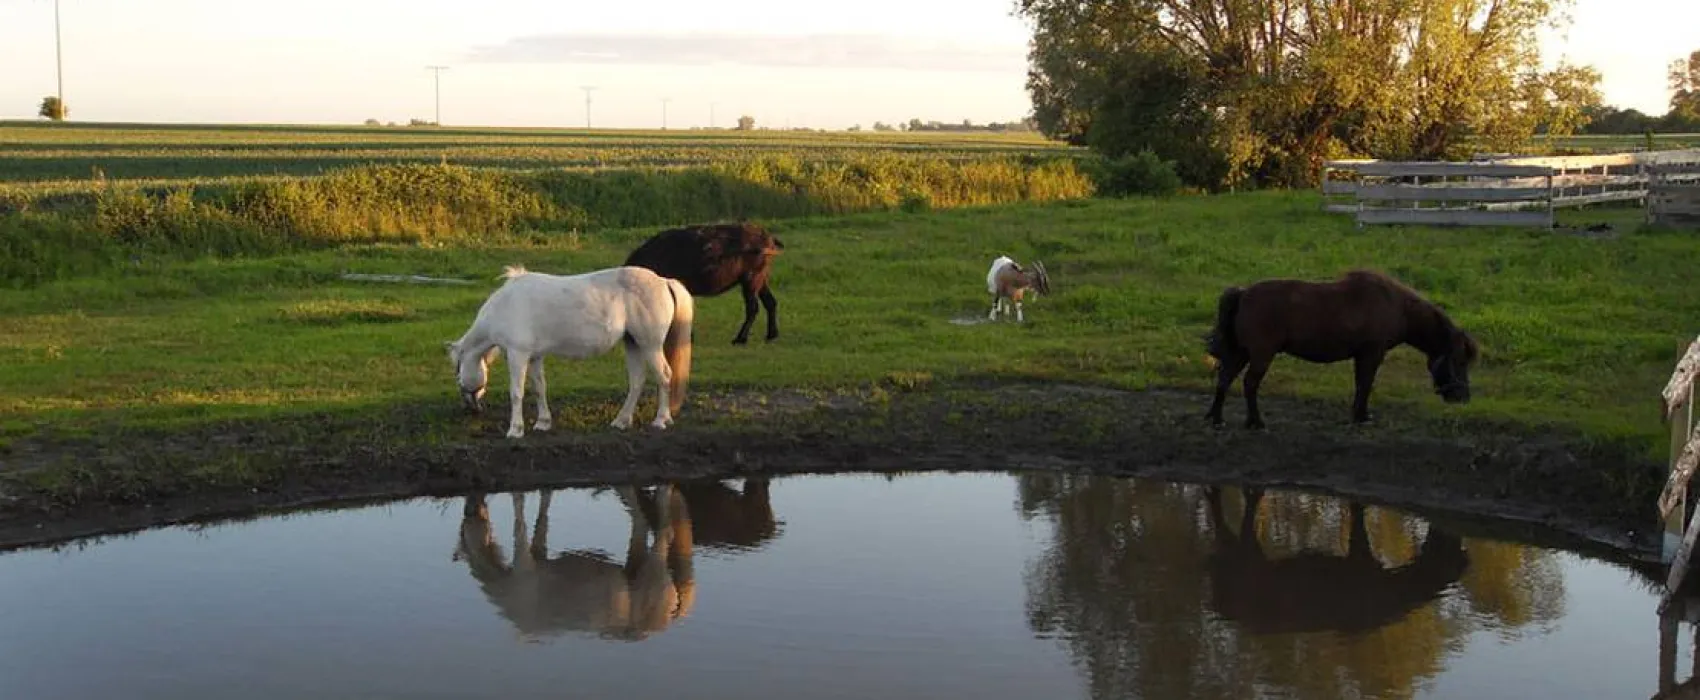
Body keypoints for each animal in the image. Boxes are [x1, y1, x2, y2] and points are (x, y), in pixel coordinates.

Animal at [445, 264, 694, 439]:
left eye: (457, 371)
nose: (471, 408)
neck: (505, 305)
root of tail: (664, 281)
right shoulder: (535, 357)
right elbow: (539, 388)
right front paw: (543, 423)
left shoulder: (518, 355)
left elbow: (516, 392)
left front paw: (515, 430)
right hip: (632, 343)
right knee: (637, 381)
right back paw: (621, 421)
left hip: (650, 345)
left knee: (664, 376)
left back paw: (661, 420)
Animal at [623, 222, 784, 345]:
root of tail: (769, 239)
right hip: (761, 279)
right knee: (770, 302)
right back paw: (771, 335)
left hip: (750, 279)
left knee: (753, 308)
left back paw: (740, 339)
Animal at [1203, 269, 1479, 430]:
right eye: (1460, 361)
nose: (1464, 398)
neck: (1397, 306)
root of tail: (1243, 294)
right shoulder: (1371, 355)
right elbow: (1365, 385)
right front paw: (1362, 416)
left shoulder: (1363, 356)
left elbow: (1360, 385)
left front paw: (1357, 414)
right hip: (1261, 354)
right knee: (1249, 384)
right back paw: (1256, 422)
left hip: (1241, 352)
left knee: (1225, 379)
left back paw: (1217, 419)